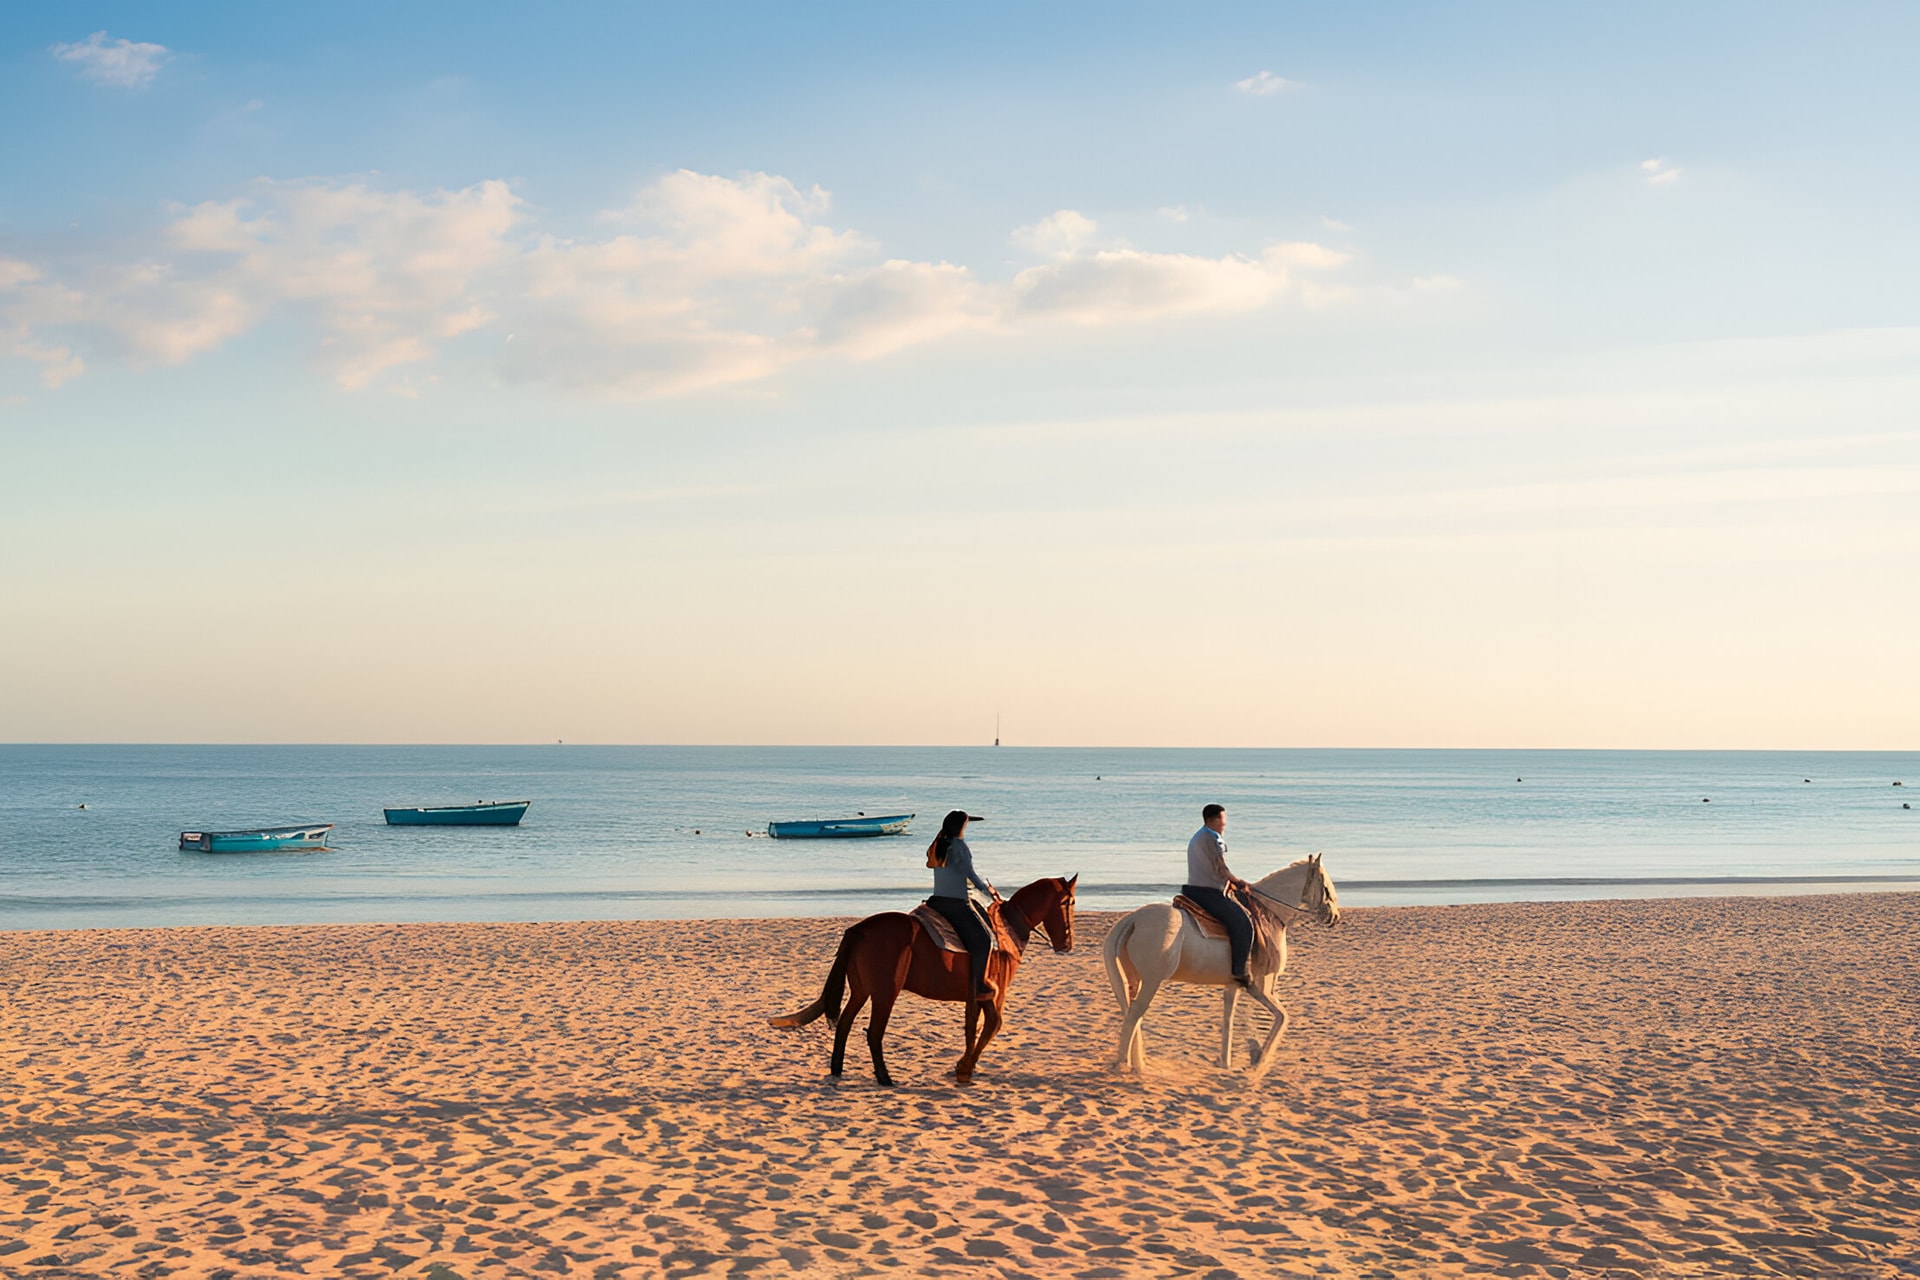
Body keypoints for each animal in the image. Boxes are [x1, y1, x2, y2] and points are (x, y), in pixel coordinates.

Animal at [770, 875, 1077, 1086]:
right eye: (1069, 903)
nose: (1067, 943)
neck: (1004, 933)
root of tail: (862, 928)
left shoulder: (975, 994)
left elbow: (971, 1027)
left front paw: (965, 1066)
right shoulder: (993, 994)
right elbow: (992, 1025)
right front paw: (965, 1067)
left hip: (862, 990)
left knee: (844, 1024)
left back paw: (837, 1070)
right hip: (885, 993)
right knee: (874, 1033)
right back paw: (885, 1078)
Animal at [1103, 855, 1339, 1076]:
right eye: (1326, 887)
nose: (1334, 917)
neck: (1267, 915)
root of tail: (1134, 918)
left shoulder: (1233, 986)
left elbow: (1228, 1021)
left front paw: (1225, 1063)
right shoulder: (1261, 989)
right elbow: (1283, 1017)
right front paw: (1258, 1058)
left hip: (1136, 979)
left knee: (1133, 1014)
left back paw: (1137, 1063)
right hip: (1152, 980)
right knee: (1133, 1015)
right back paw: (1124, 1065)